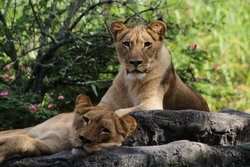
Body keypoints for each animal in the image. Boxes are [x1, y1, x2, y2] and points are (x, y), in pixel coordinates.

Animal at [0, 94, 137, 164]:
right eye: (86, 119)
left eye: (105, 130)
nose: (84, 139)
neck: (67, 133)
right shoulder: (27, 130)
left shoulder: (50, 146)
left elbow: (22, 141)